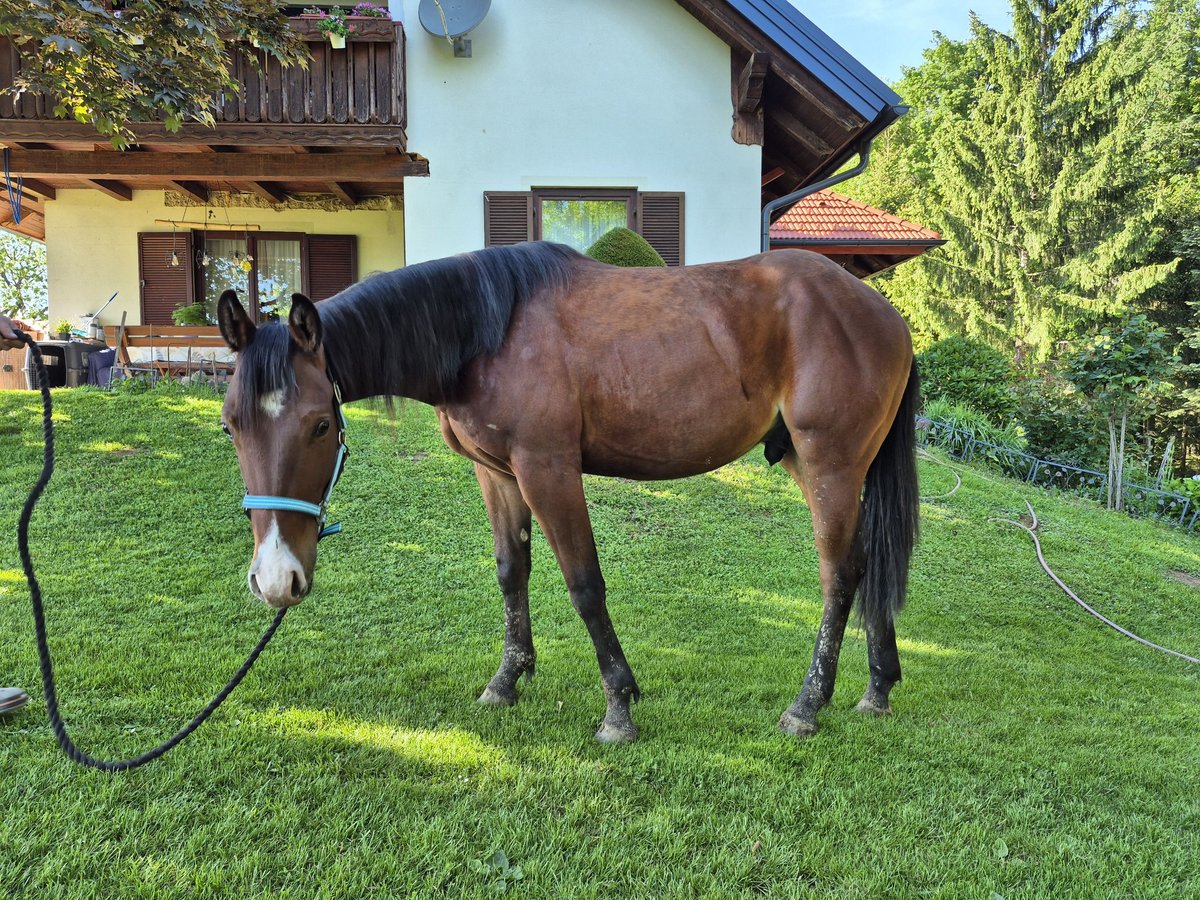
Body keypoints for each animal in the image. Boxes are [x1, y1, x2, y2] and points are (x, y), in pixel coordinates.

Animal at [215, 241, 919, 743]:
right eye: (230, 423)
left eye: (320, 424)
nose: (276, 579)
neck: (487, 331)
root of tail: (887, 316)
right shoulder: (498, 474)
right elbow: (511, 572)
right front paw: (507, 679)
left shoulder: (547, 468)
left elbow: (584, 584)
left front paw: (618, 708)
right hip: (809, 461)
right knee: (868, 563)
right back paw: (878, 688)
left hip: (830, 464)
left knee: (840, 573)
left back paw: (808, 704)